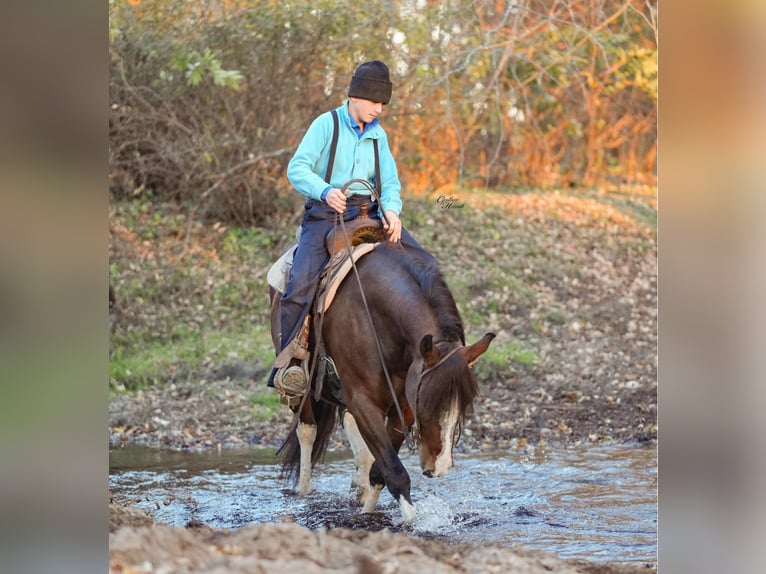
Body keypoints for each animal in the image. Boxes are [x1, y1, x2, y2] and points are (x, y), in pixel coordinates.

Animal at [269, 237, 494, 522]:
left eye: (463, 406)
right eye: (427, 404)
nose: (440, 467)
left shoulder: (402, 408)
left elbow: (381, 470)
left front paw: (367, 510)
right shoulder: (365, 403)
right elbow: (395, 473)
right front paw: (410, 521)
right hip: (304, 388)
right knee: (307, 430)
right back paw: (304, 488)